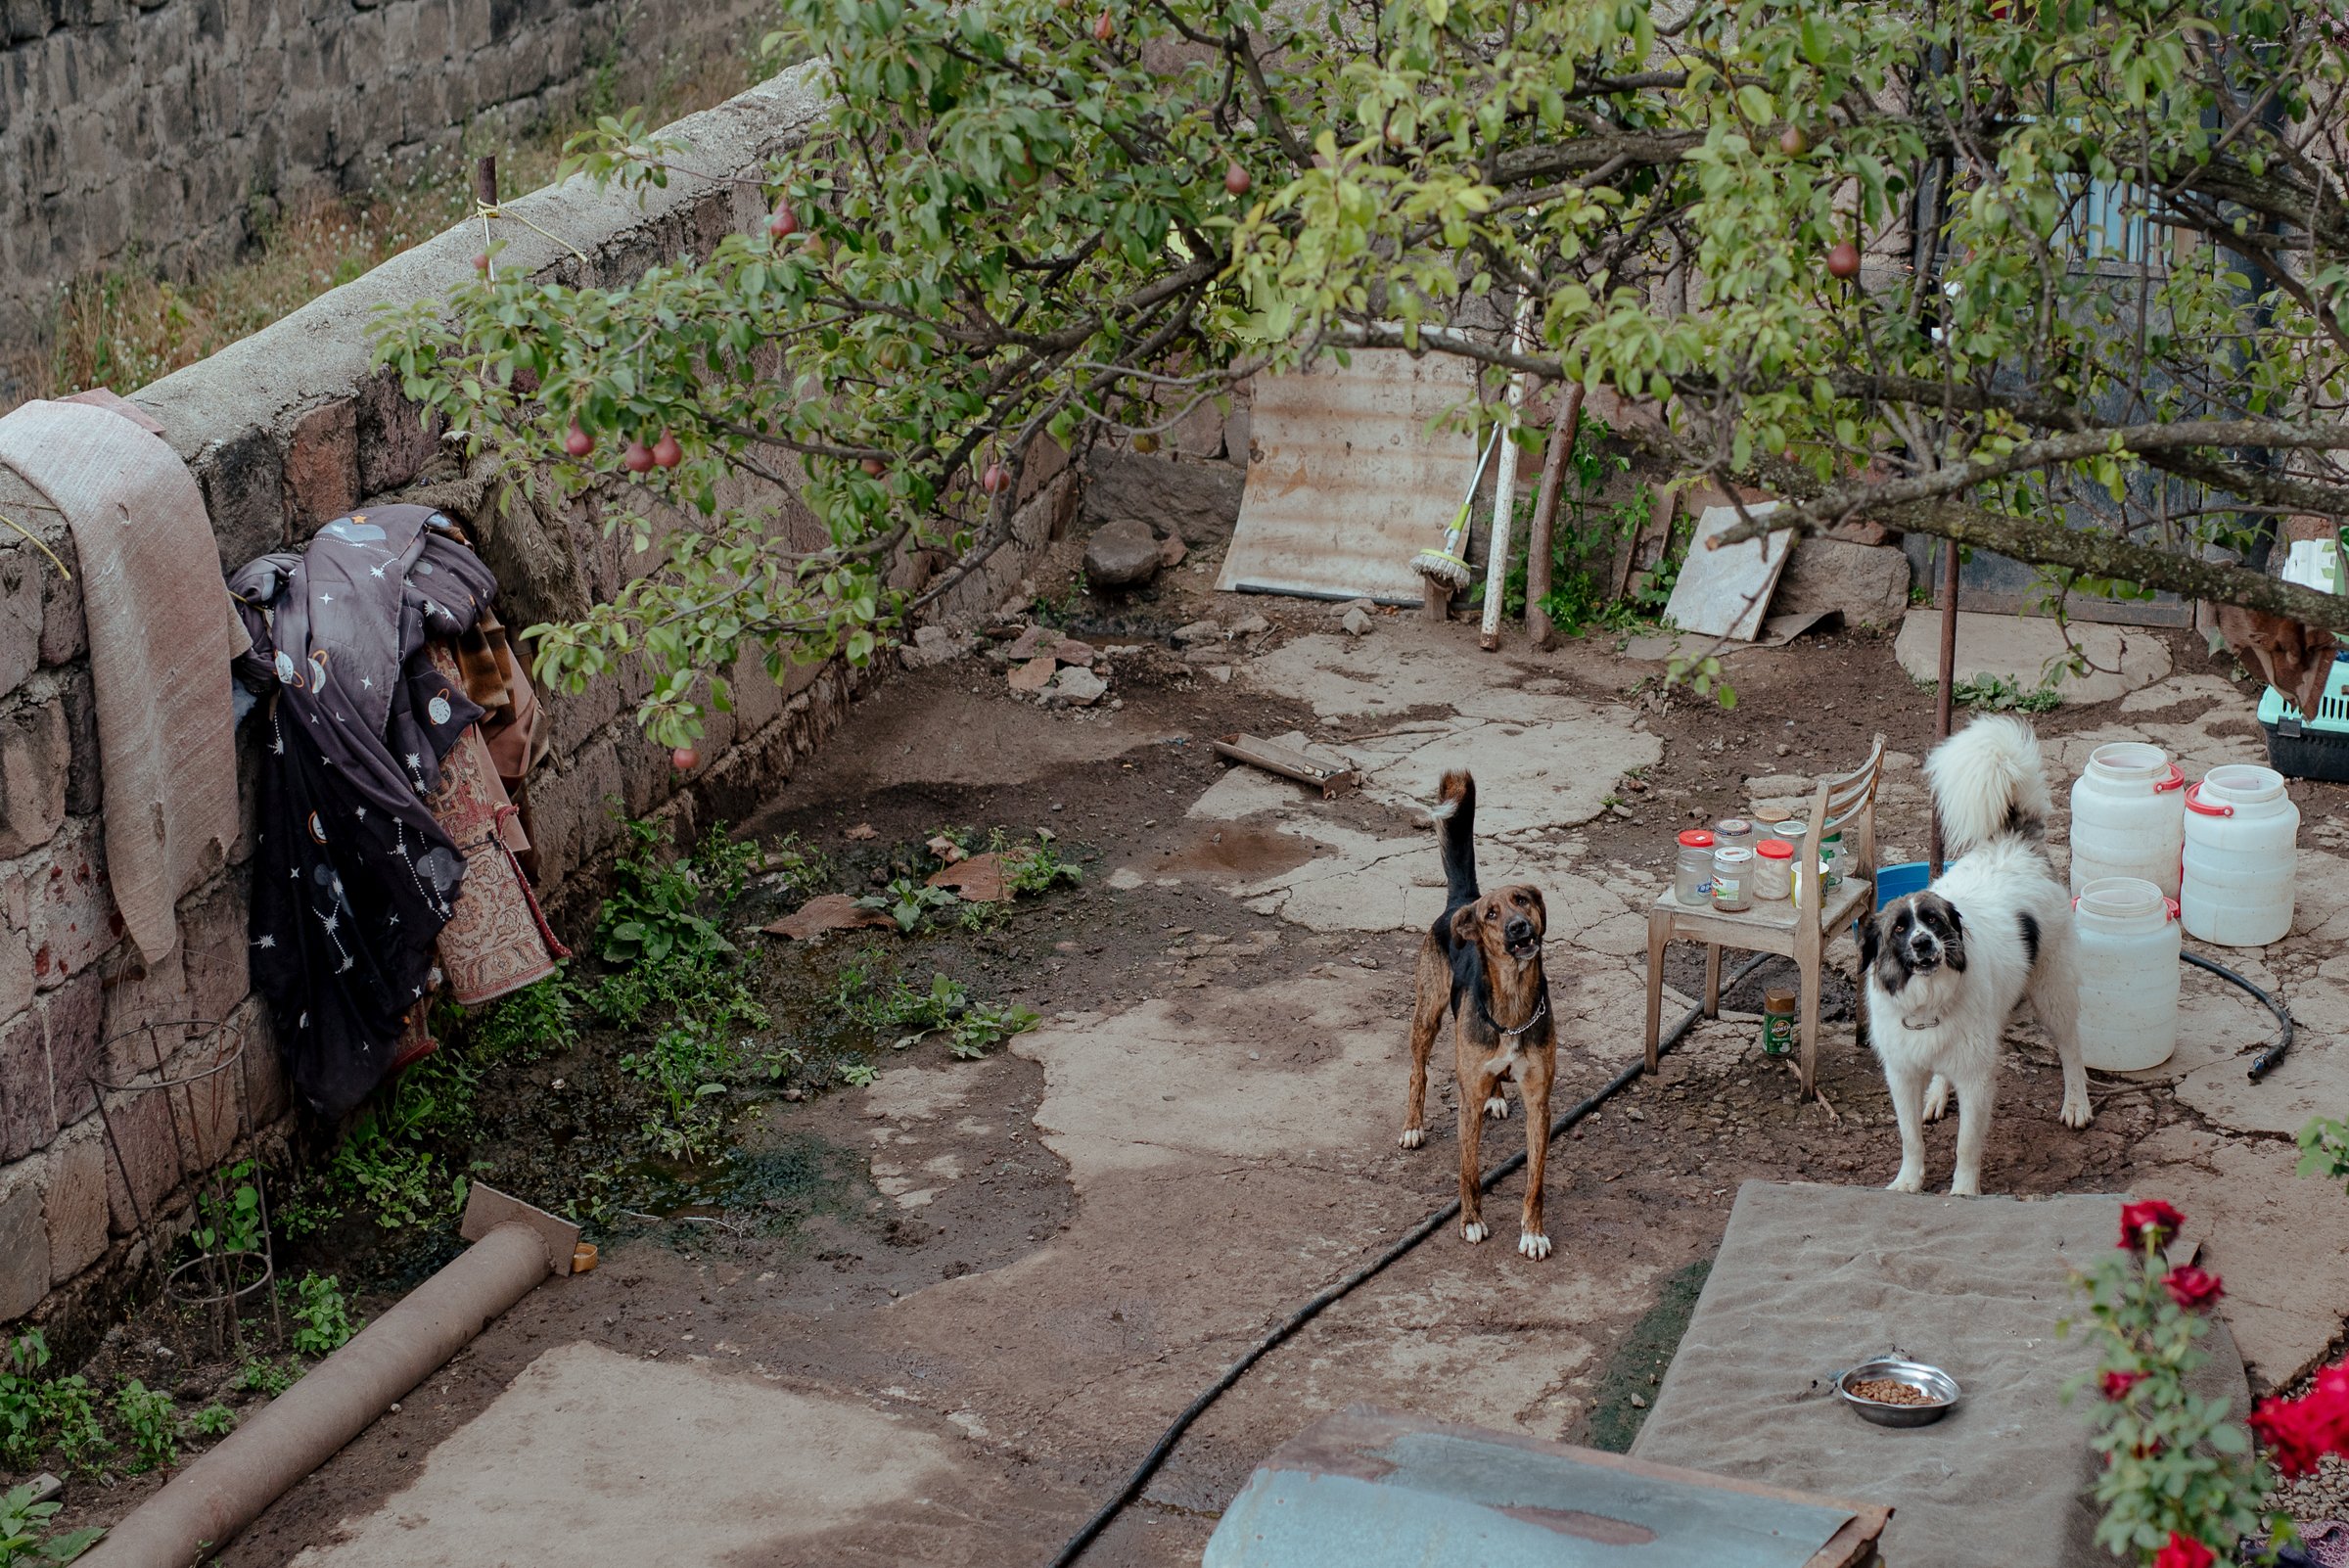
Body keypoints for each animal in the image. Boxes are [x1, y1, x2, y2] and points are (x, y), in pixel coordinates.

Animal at [1400, 769, 1550, 1258]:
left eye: (1523, 900)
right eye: (1492, 914)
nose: (1519, 928)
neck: (1512, 1003)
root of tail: (1459, 903)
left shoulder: (1540, 1102)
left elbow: (1534, 1181)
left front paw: (1532, 1233)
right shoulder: (1466, 1105)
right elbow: (1469, 1171)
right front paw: (1470, 1222)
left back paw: (1498, 1096)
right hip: (1426, 1015)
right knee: (1419, 1072)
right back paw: (1413, 1126)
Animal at [1869, 717, 2095, 1192]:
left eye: (1933, 921)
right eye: (1900, 928)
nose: (1923, 944)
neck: (1928, 1005)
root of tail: (2014, 842)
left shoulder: (1977, 1078)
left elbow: (1967, 1144)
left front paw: (1963, 1192)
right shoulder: (1901, 1073)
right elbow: (1910, 1137)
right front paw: (1908, 1182)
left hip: (2053, 992)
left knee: (2071, 1047)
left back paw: (2077, 1104)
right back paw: (1937, 1095)